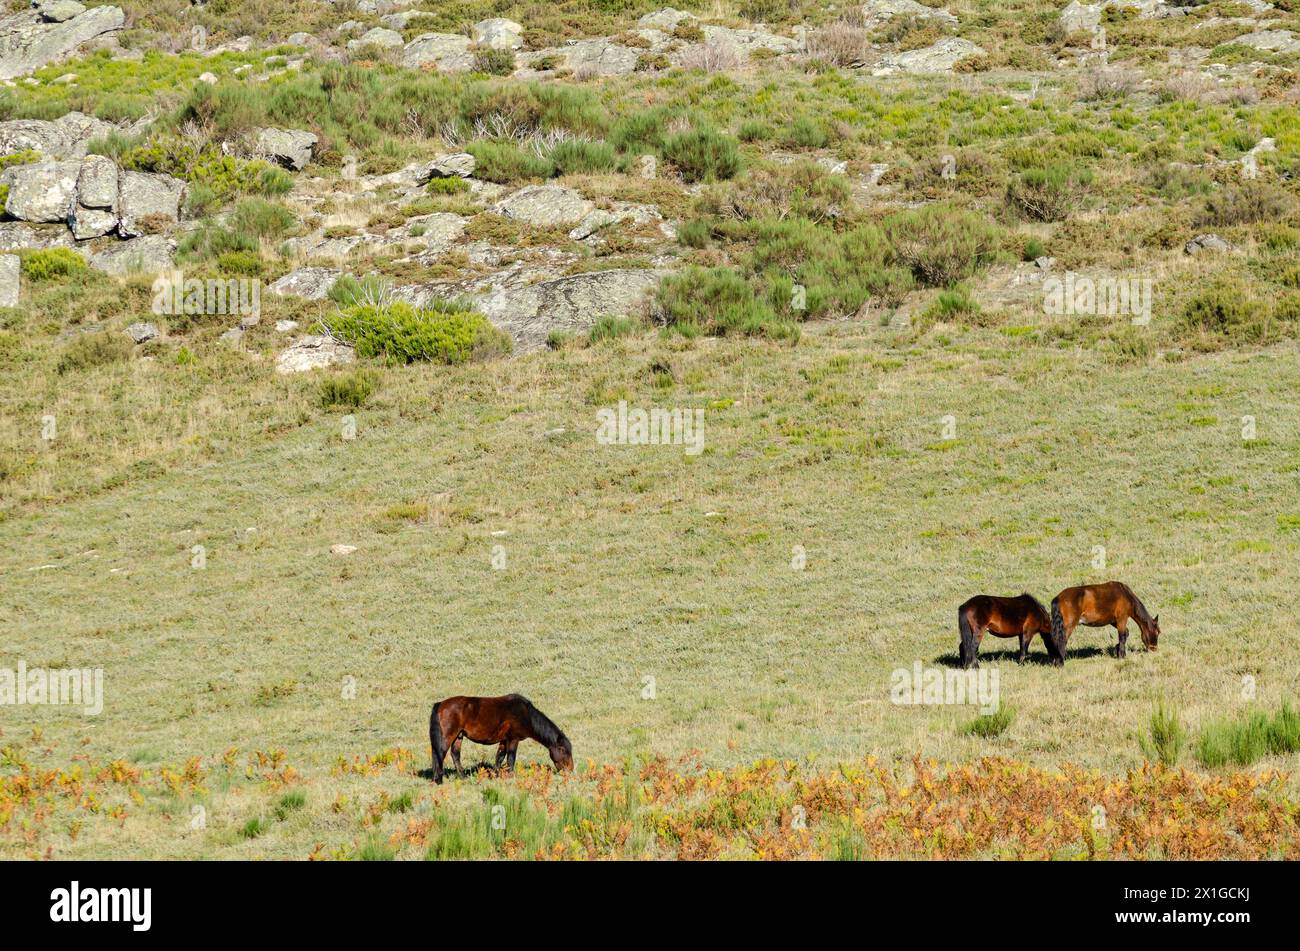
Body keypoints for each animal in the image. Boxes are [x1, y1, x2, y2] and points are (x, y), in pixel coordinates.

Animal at [428, 696, 572, 784]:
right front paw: (511, 776)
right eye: (564, 750)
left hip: (458, 736)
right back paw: (438, 780)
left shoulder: (504, 740)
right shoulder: (513, 739)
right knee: (440, 754)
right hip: (448, 736)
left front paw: (496, 776)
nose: (570, 770)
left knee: (455, 755)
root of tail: (441, 704)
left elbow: (500, 757)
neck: (526, 715)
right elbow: (511, 759)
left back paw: (462, 777)